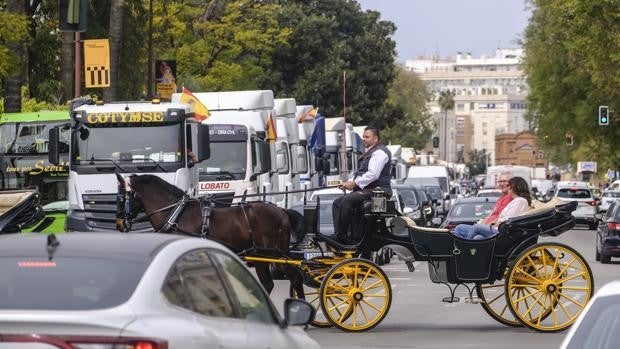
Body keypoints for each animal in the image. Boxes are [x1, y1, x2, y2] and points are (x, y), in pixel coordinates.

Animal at [115, 173, 304, 294]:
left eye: (121, 198)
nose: (119, 223)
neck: (177, 213)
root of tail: (281, 211)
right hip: (262, 255)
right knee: (270, 283)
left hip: (272, 255)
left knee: (293, 277)